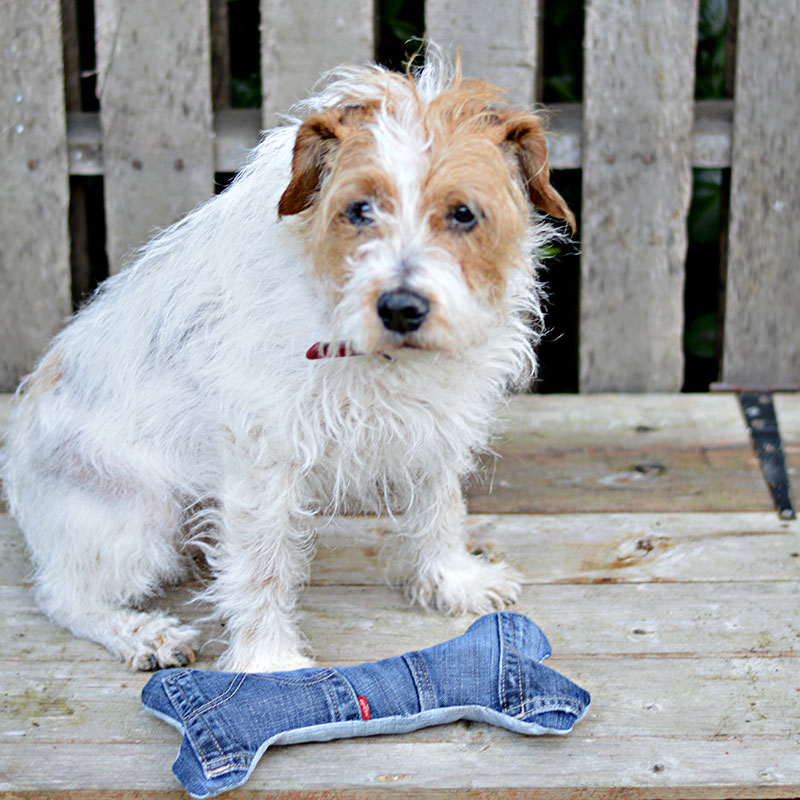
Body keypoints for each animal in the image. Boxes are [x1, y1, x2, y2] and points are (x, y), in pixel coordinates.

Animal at [1, 48, 576, 676]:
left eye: (464, 213)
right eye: (359, 209)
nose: (400, 308)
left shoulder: (433, 424)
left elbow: (441, 506)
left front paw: (453, 580)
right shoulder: (263, 457)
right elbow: (263, 568)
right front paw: (269, 665)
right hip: (138, 520)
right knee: (61, 596)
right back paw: (141, 632)